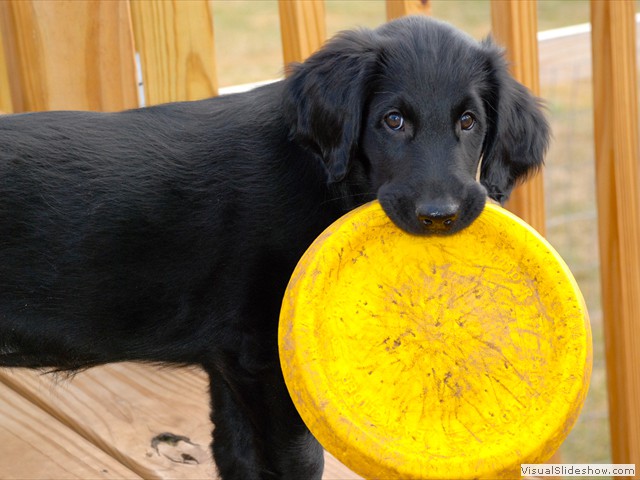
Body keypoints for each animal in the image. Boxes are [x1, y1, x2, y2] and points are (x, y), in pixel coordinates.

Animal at [0, 15, 552, 480]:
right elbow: (298, 461)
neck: (318, 171)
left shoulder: (229, 359)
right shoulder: (265, 358)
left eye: (468, 121)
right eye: (393, 121)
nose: (439, 216)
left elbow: (237, 454)